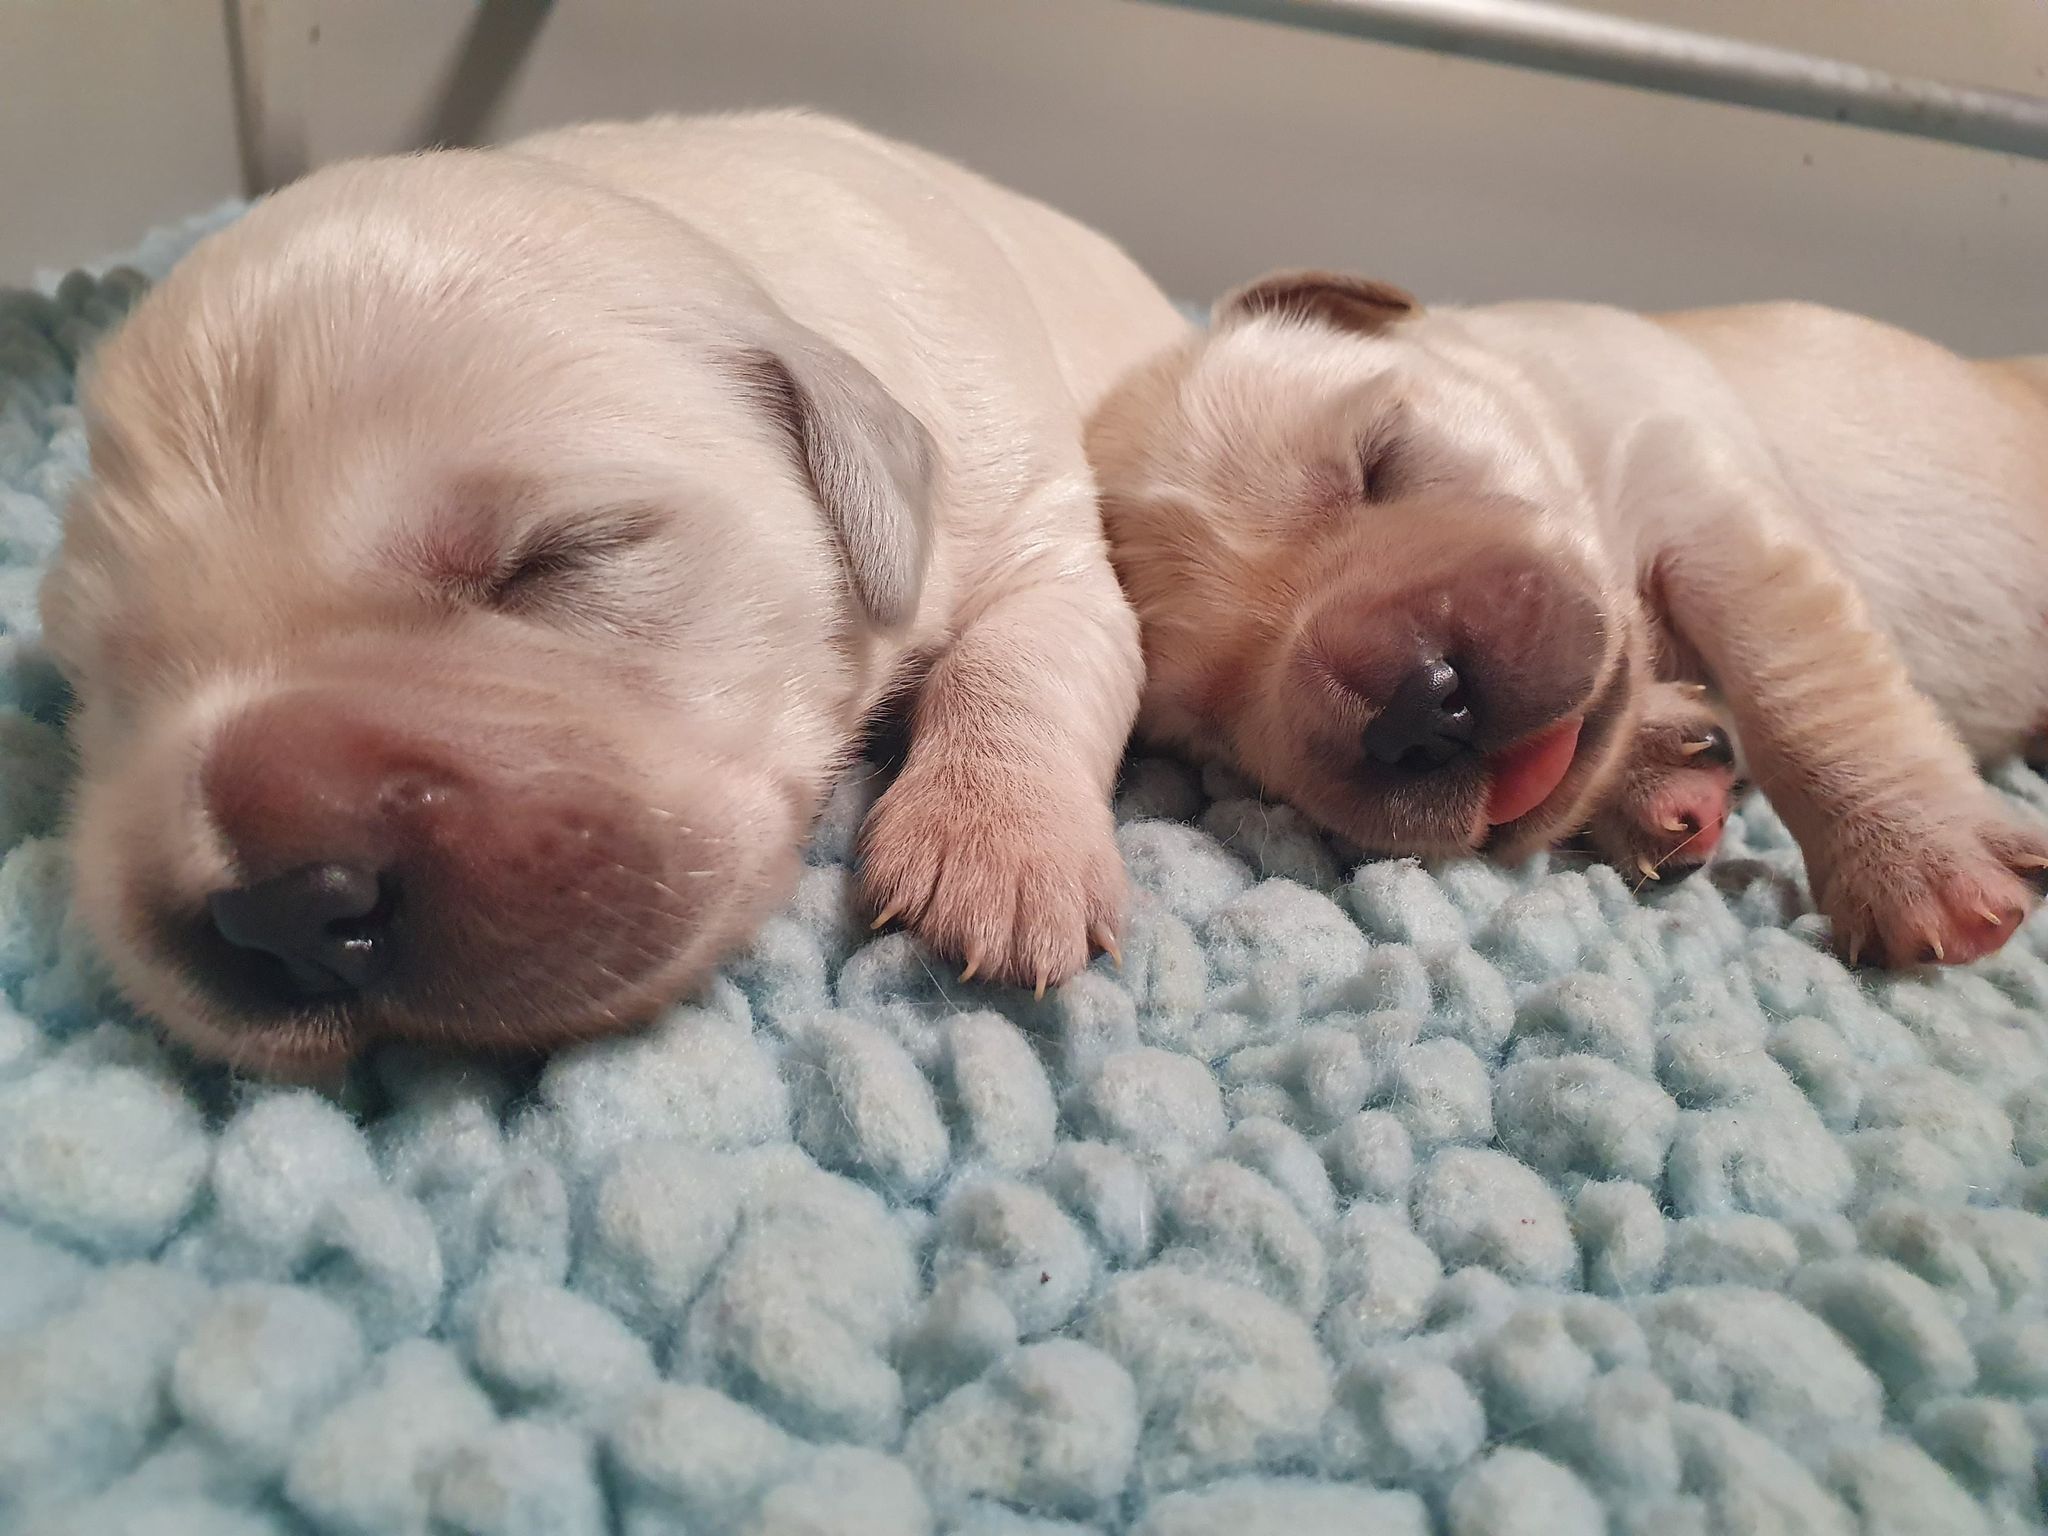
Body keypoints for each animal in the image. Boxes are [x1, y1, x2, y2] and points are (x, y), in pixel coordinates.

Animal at [44, 111, 1187, 1073]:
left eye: (558, 559)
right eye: (106, 687)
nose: (286, 909)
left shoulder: (1035, 515)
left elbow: (1022, 658)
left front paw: (997, 852)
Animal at [1097, 274, 2048, 974]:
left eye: (1378, 463)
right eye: (1215, 725)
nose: (1419, 706)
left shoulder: (1702, 498)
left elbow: (1796, 678)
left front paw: (1912, 862)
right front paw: (1661, 773)